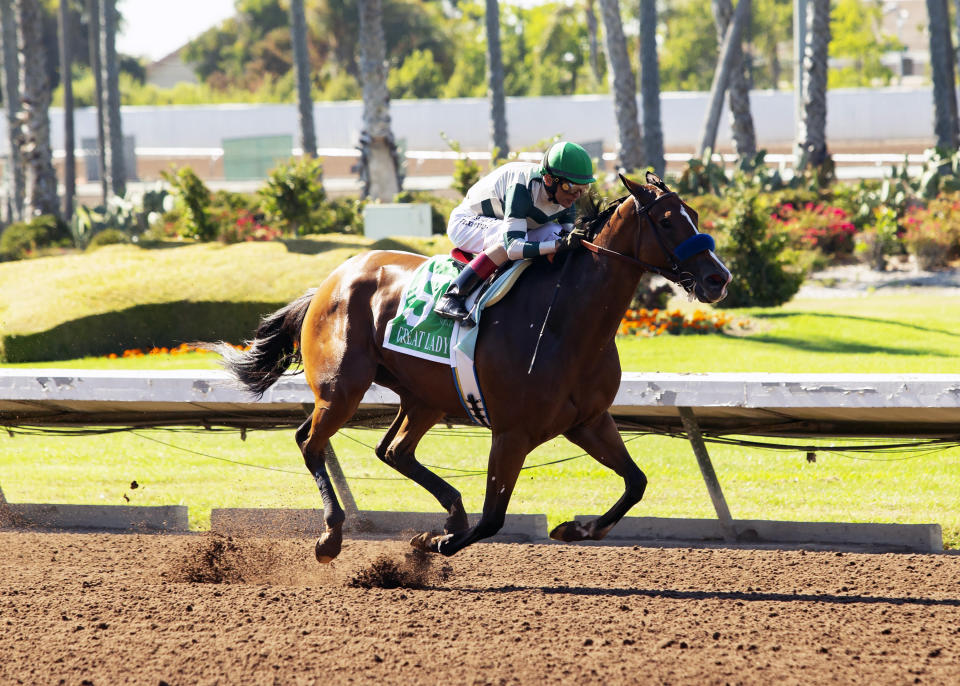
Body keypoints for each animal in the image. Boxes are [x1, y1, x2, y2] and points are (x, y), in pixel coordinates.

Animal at [216, 171, 728, 560]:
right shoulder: (512, 433)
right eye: (667, 220)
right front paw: (437, 542)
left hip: (424, 397)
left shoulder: (589, 420)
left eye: (693, 213)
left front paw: (573, 529)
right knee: (311, 443)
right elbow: (494, 518)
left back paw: (450, 511)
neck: (565, 321)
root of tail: (331, 279)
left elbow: (636, 483)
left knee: (392, 451)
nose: (717, 278)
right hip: (342, 388)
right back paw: (331, 534)